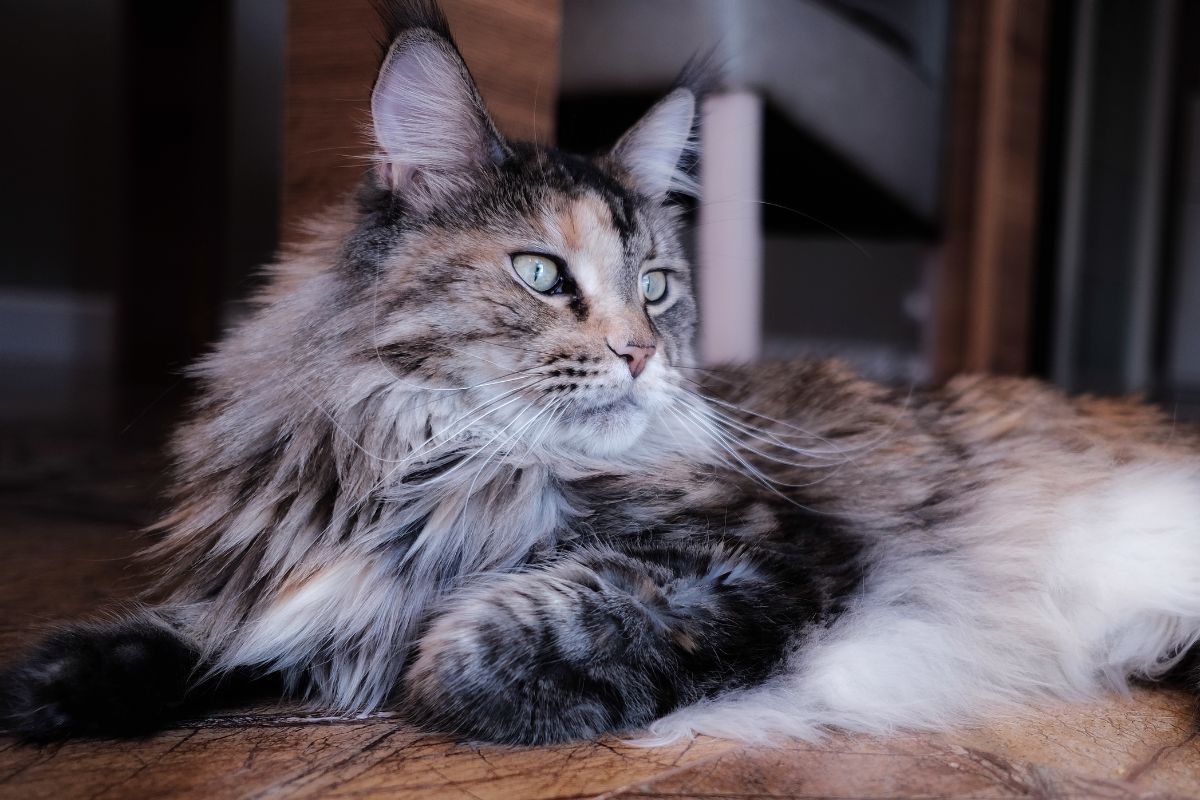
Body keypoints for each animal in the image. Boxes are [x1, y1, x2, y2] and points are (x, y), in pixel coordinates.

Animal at [2, 1, 1200, 753]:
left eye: (658, 286)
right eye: (541, 272)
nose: (641, 351)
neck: (440, 469)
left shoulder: (773, 556)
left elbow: (496, 639)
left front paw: (441, 671)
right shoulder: (299, 588)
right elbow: (200, 639)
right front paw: (47, 688)